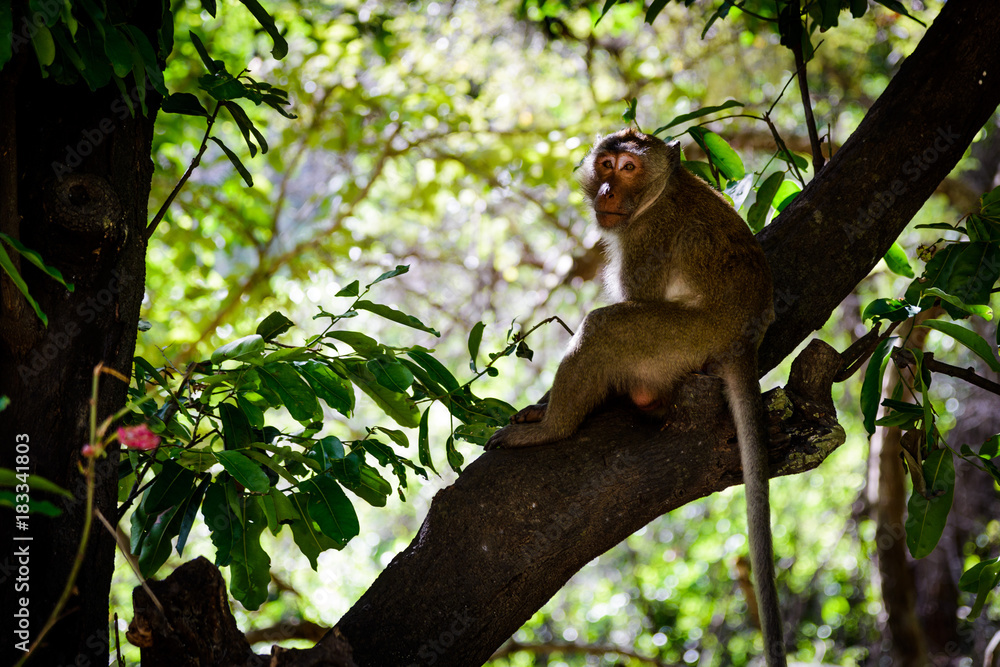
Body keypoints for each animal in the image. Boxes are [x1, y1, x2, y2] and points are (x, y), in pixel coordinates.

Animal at [485, 128, 785, 667]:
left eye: (628, 168)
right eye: (605, 165)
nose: (607, 190)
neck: (659, 195)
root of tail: (743, 340)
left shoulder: (647, 238)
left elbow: (633, 300)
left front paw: (548, 415)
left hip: (683, 338)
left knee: (606, 326)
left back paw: (554, 427)